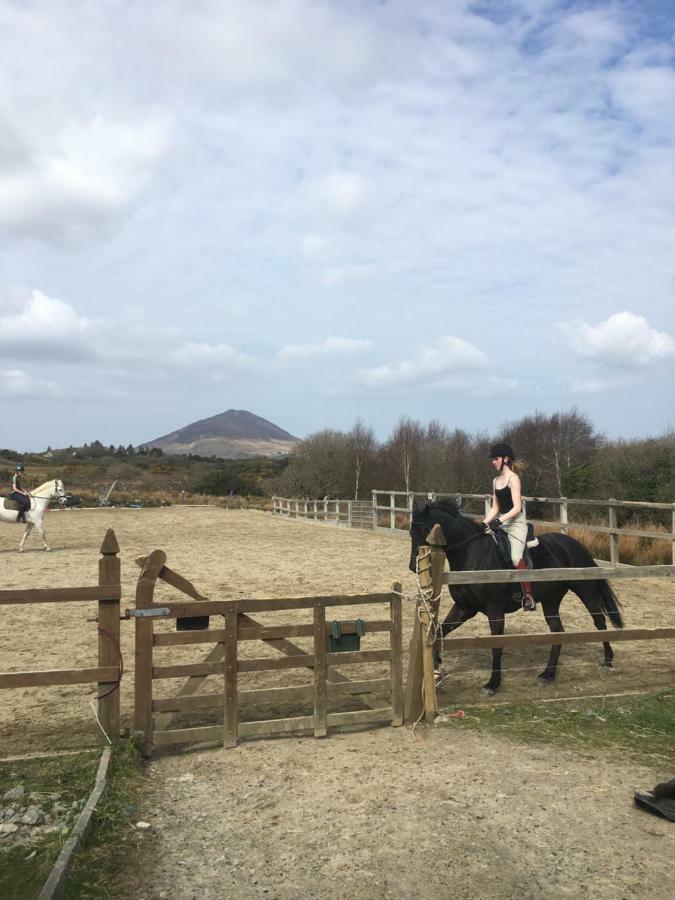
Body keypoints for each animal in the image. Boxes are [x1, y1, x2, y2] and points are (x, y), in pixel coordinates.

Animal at [406, 500, 624, 696]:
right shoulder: (465, 608)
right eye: (411, 532)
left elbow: (496, 646)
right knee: (558, 632)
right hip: (551, 600)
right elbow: (440, 632)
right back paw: (548, 674)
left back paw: (607, 662)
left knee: (599, 621)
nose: (413, 566)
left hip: (585, 590)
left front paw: (492, 684)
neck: (471, 554)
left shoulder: (494, 610)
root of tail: (575, 544)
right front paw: (435, 669)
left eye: (426, 529)